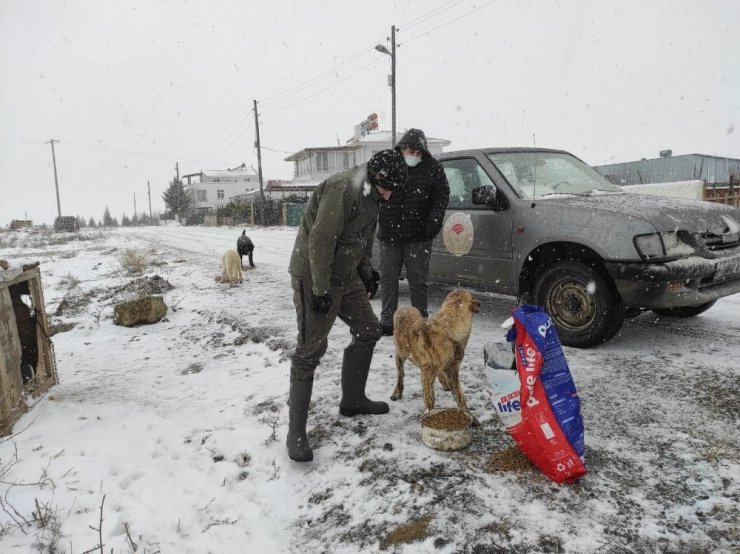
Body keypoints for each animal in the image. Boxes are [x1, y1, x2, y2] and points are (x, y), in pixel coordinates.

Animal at [394, 286, 480, 424]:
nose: (479, 303)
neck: (449, 329)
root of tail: (405, 307)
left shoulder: (453, 370)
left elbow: (460, 396)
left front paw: (470, 417)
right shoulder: (427, 372)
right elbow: (430, 398)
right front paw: (429, 415)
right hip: (400, 355)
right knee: (400, 374)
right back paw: (397, 392)